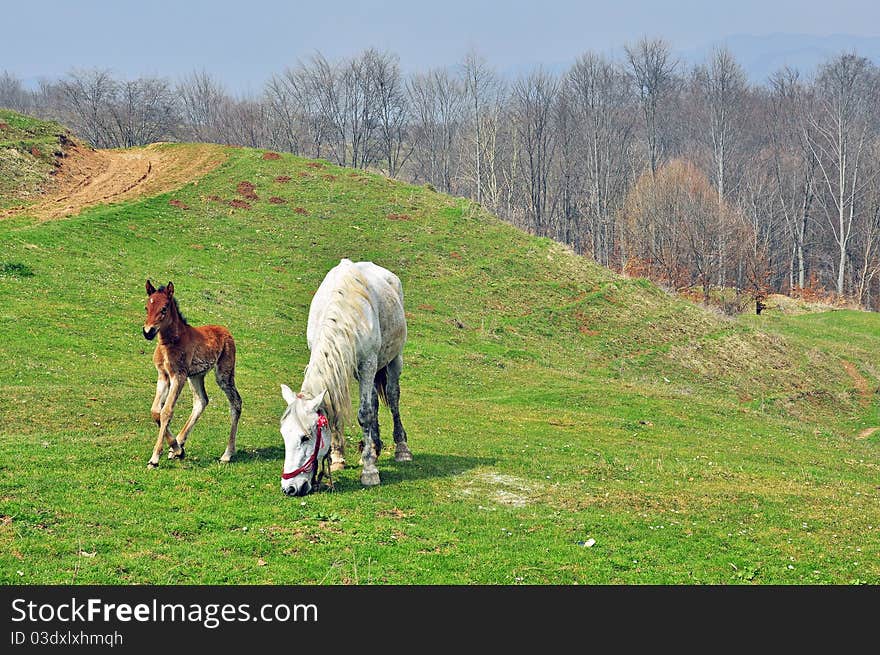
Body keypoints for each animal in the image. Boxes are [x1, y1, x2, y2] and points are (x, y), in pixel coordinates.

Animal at [143, 280, 242, 468]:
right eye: (146, 307)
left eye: (164, 308)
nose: (148, 331)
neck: (170, 342)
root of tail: (227, 332)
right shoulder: (163, 375)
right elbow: (155, 411)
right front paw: (176, 449)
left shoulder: (178, 375)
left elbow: (166, 411)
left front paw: (154, 458)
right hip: (196, 376)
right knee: (201, 401)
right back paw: (179, 444)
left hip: (224, 374)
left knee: (236, 402)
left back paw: (227, 454)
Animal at [280, 258, 414, 494]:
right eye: (284, 435)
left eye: (306, 437)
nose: (290, 488)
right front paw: (337, 459)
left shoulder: (367, 364)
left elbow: (365, 414)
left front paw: (369, 472)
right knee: (373, 401)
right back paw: (374, 449)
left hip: (392, 360)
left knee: (393, 397)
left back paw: (401, 449)